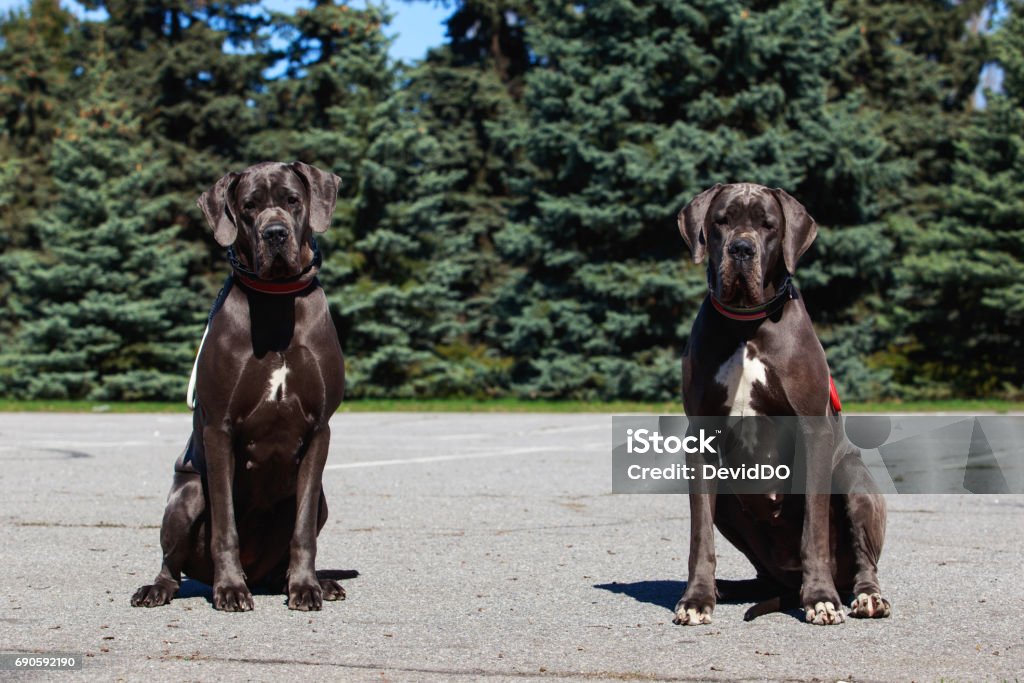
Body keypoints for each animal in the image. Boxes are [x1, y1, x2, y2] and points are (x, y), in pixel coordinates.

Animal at [132, 161, 346, 614]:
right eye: (249, 206)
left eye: (292, 200)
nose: (275, 233)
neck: (277, 297)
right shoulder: (219, 428)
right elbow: (225, 525)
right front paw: (230, 589)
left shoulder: (320, 429)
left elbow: (303, 529)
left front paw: (306, 587)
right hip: (186, 495)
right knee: (172, 561)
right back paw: (160, 588)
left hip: (321, 498)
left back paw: (314, 582)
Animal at [671, 181, 888, 626]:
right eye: (721, 221)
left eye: (768, 225)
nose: (741, 249)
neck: (746, 323)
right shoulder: (700, 438)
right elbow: (700, 534)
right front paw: (696, 598)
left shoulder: (813, 429)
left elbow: (814, 527)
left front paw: (820, 598)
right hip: (730, 502)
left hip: (853, 477)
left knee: (864, 560)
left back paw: (864, 596)